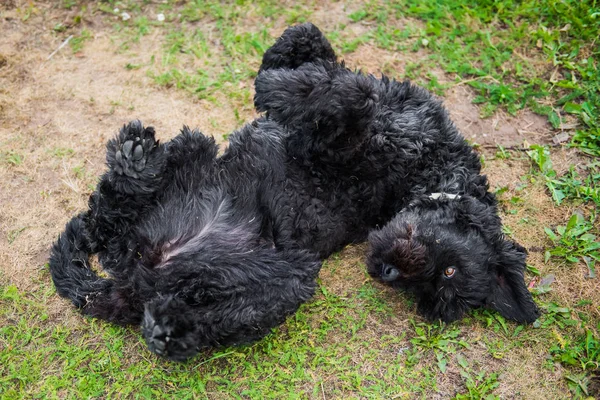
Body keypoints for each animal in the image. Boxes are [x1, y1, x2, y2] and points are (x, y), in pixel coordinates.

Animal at [50, 22, 540, 362]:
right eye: (450, 272)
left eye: (440, 282)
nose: (389, 274)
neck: (433, 164)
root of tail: (137, 278)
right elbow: (318, 48)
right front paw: (283, 72)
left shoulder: (337, 149)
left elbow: (352, 98)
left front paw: (284, 88)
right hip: (194, 151)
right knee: (105, 212)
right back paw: (135, 161)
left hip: (289, 279)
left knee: (219, 314)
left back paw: (172, 329)